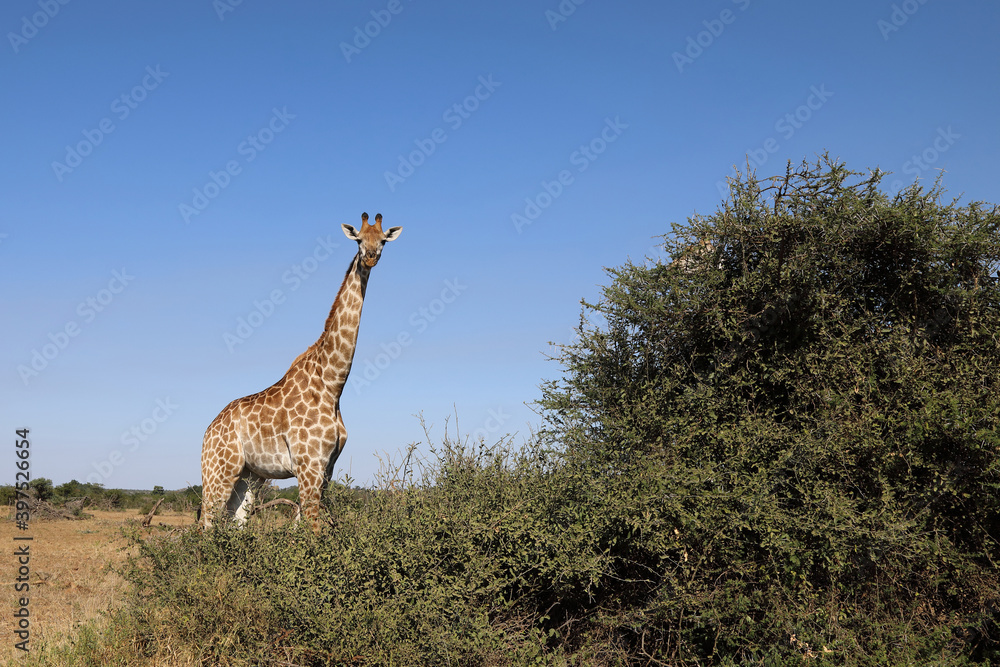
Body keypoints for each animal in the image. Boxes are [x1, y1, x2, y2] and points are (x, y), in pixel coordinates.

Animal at [199, 212, 402, 533]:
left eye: (383, 240)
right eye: (358, 239)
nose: (370, 257)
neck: (333, 385)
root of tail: (208, 430)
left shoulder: (327, 468)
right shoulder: (309, 465)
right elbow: (313, 528)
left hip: (249, 476)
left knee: (235, 521)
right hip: (218, 470)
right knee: (206, 525)